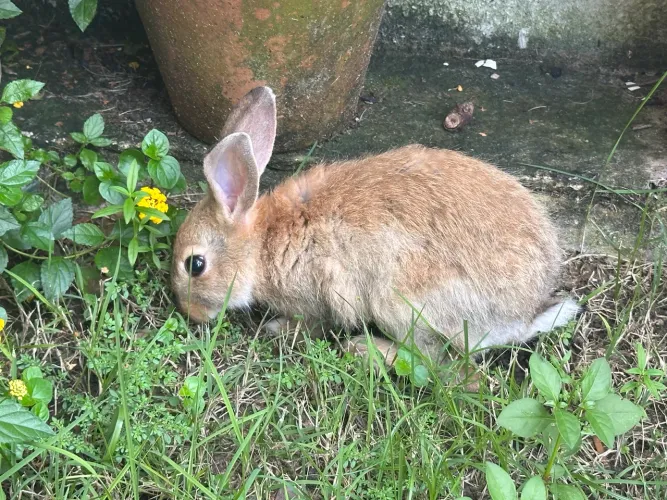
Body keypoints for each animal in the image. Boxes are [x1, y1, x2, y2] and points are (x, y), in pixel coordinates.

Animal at [171, 86, 581, 379]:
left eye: (195, 265)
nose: (190, 313)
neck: (261, 245)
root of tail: (520, 318)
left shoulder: (320, 290)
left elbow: (314, 322)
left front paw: (278, 329)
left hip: (400, 300)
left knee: (434, 359)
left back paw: (366, 350)